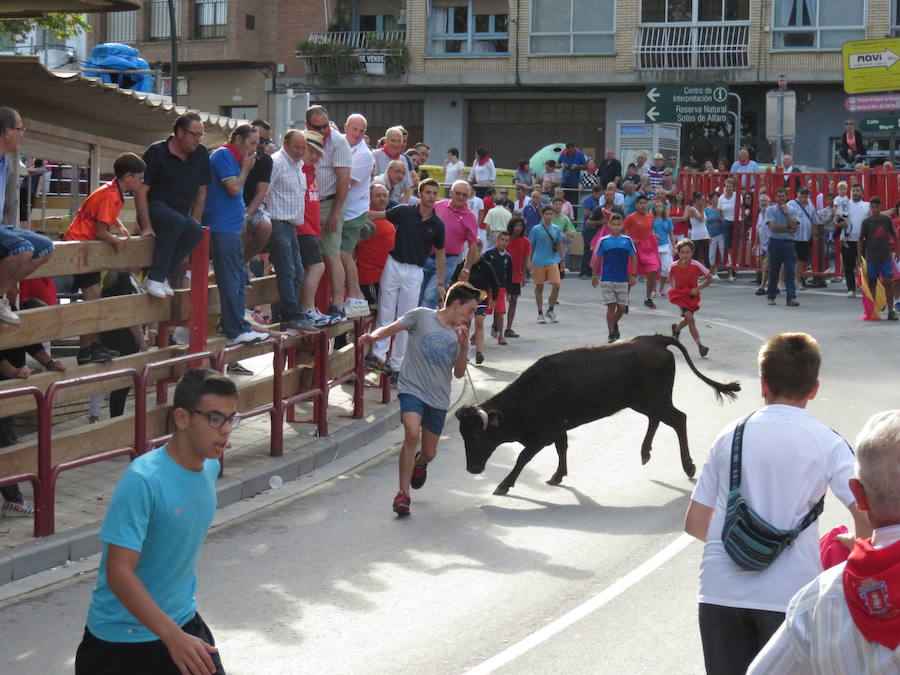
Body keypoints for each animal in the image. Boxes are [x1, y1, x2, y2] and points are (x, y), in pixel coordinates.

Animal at [458, 334, 740, 496]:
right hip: (645, 402)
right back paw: (645, 453)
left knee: (678, 419)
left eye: (476, 436)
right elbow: (562, 448)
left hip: (656, 400)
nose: (471, 468)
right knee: (657, 420)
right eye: (463, 435)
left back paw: (688, 465)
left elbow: (523, 457)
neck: (529, 395)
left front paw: (503, 485)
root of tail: (653, 340)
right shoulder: (559, 429)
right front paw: (557, 476)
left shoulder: (544, 433)